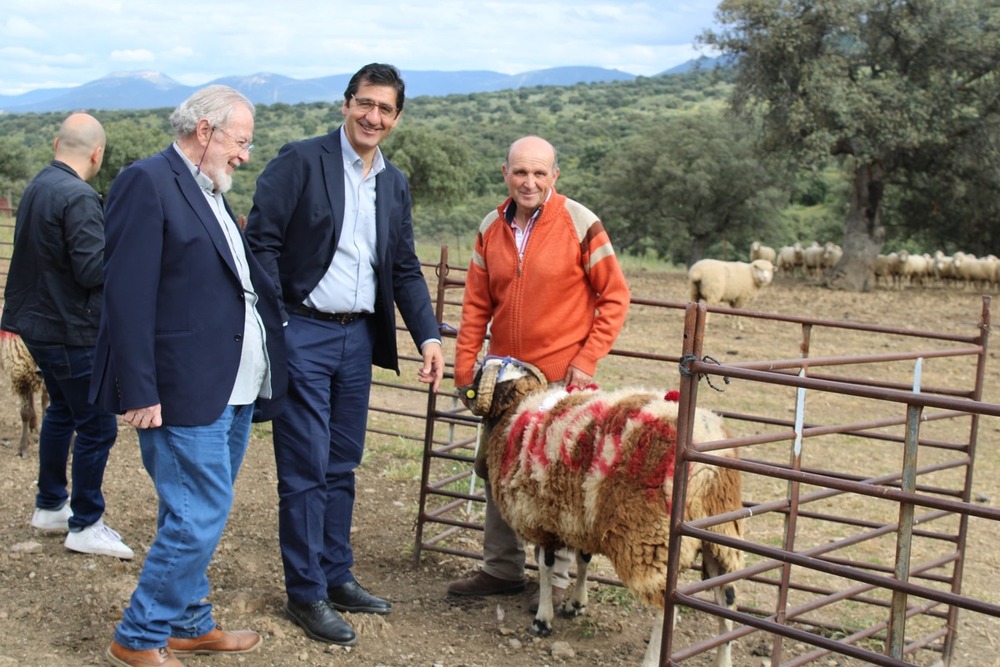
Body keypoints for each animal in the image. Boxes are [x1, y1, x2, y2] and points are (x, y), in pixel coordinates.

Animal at [468, 358, 744, 667]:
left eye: (479, 377)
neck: (519, 410)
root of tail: (707, 464)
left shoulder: (540, 518)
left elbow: (545, 566)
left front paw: (542, 619)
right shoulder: (580, 516)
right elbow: (583, 559)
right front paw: (576, 604)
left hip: (650, 539)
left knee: (668, 610)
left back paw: (651, 660)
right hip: (720, 534)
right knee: (727, 599)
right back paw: (723, 659)